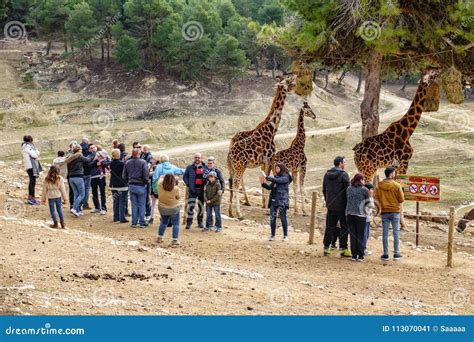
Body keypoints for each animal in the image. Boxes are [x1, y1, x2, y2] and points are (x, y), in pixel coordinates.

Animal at [227, 73, 296, 218]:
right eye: (288, 80)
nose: (294, 77)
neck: (272, 129)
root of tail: (229, 154)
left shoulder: (265, 162)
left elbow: (267, 181)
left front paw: (265, 205)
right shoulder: (269, 159)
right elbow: (270, 181)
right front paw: (267, 208)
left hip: (233, 168)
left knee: (231, 183)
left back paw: (231, 212)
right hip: (240, 166)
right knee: (235, 185)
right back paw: (240, 213)